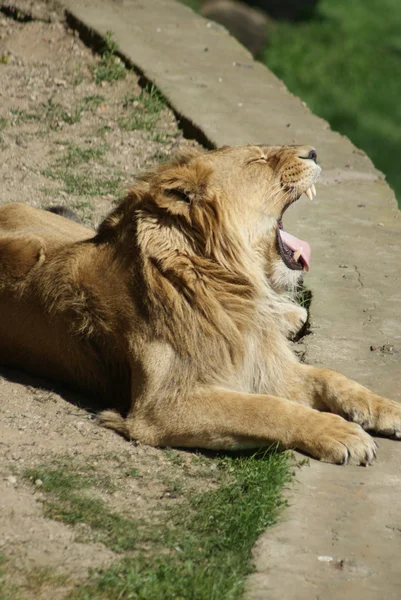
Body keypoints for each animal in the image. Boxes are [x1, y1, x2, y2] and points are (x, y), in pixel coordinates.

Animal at [0, 145, 400, 464]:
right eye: (259, 158)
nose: (313, 152)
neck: (230, 286)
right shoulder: (160, 407)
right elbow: (265, 409)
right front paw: (341, 433)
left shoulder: (264, 364)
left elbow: (332, 378)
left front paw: (388, 410)